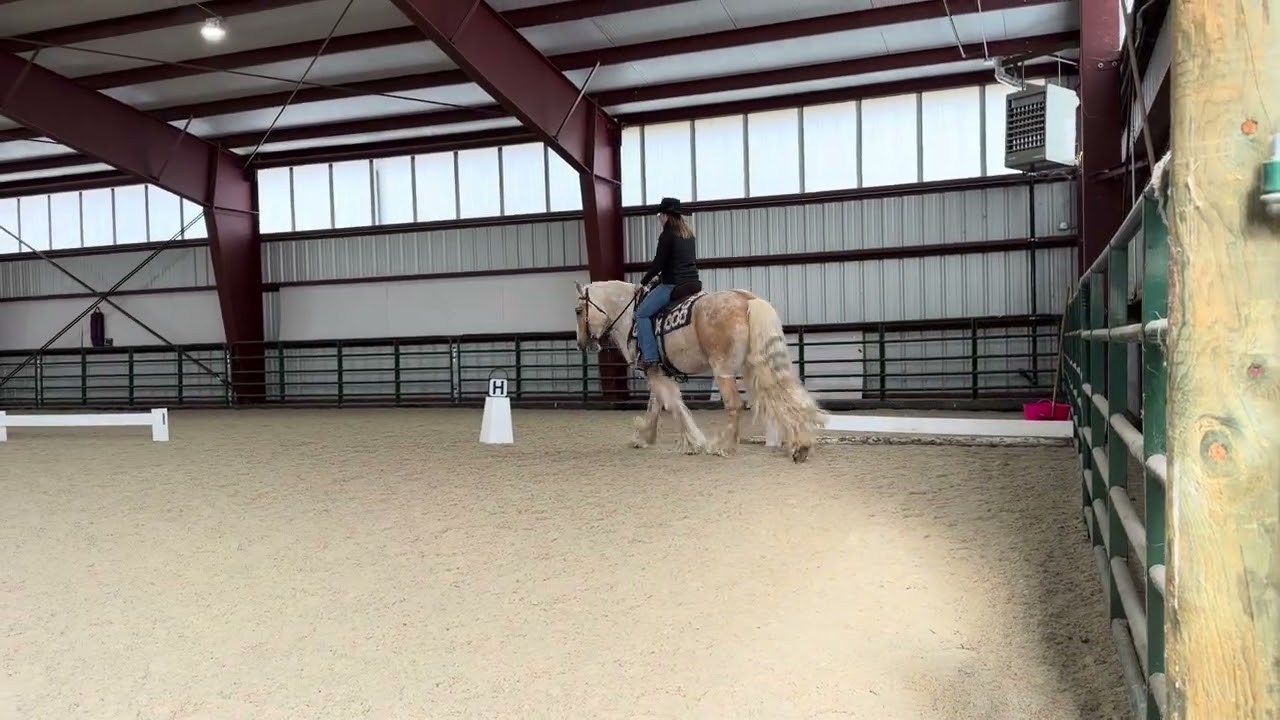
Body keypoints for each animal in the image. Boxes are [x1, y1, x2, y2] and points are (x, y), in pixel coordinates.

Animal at [573, 279, 825, 462]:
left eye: (578, 310)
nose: (581, 343)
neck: (630, 315)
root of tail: (745, 299)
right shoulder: (657, 371)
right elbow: (655, 406)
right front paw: (645, 437)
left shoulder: (653, 372)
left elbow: (673, 405)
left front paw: (694, 443)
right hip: (757, 364)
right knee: (783, 394)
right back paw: (800, 446)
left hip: (723, 369)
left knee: (735, 405)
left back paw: (724, 447)